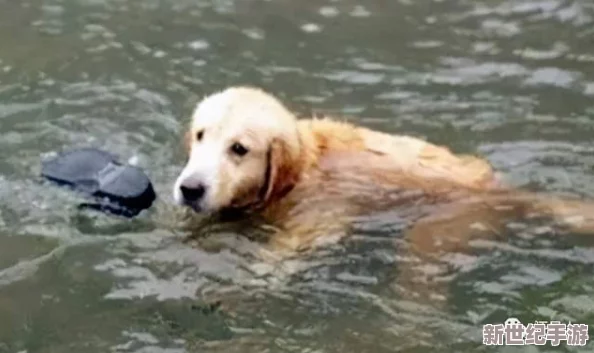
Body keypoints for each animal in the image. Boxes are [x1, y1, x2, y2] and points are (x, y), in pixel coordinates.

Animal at [173, 86, 592, 254]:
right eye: (201, 135)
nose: (190, 188)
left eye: (239, 149)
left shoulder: (321, 212)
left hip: (438, 231)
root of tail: (503, 189)